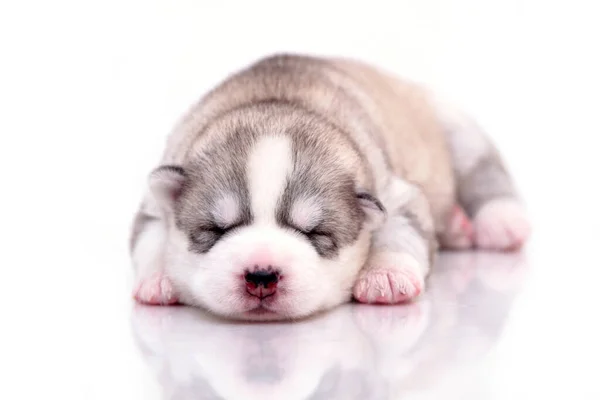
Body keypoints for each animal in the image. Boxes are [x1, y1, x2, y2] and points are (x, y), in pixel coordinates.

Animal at [130, 54, 528, 322]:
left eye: (315, 233)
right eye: (216, 230)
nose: (261, 275)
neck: (279, 104)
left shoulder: (393, 192)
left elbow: (404, 229)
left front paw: (387, 275)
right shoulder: (156, 193)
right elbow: (148, 237)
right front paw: (159, 279)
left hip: (452, 125)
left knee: (483, 167)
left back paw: (499, 220)